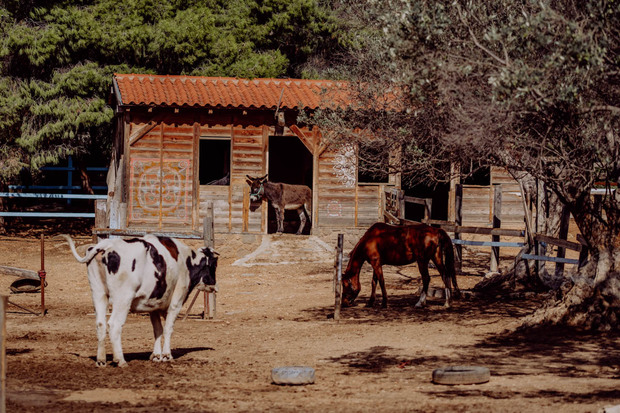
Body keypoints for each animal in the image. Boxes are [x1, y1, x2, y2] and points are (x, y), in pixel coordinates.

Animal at [58, 233, 218, 366]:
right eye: (214, 265)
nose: (214, 285)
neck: (186, 260)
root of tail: (107, 244)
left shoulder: (153, 305)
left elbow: (157, 329)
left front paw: (156, 355)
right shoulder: (176, 302)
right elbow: (168, 328)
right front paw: (167, 355)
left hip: (98, 293)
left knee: (101, 324)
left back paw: (101, 360)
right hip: (123, 298)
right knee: (114, 325)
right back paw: (120, 360)